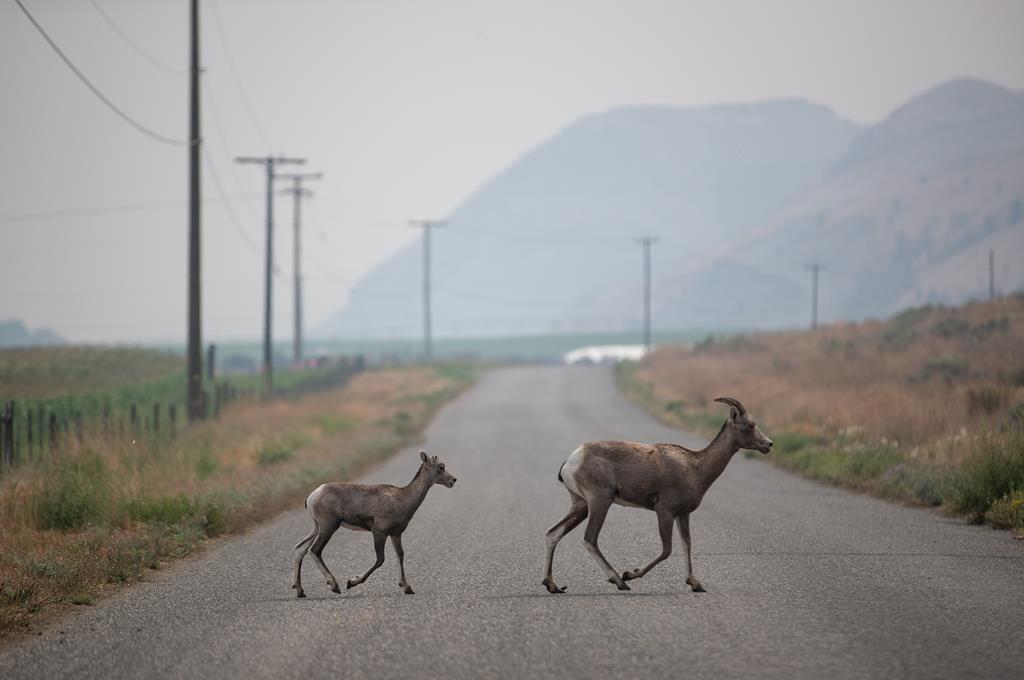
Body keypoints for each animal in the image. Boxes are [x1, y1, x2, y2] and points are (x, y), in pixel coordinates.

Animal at [292, 450, 456, 598]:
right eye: (441, 467)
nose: (453, 480)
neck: (403, 499)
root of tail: (312, 496)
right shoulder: (379, 532)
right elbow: (380, 560)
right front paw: (351, 582)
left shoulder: (395, 534)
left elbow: (400, 555)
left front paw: (407, 588)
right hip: (328, 527)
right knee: (314, 550)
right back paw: (334, 586)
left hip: (317, 527)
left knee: (300, 549)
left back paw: (300, 591)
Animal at [542, 396, 772, 594]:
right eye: (750, 425)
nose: (769, 444)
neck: (695, 467)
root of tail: (572, 460)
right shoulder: (664, 512)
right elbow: (667, 550)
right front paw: (630, 574)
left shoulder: (683, 515)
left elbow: (687, 544)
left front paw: (695, 584)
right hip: (600, 502)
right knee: (590, 539)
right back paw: (619, 581)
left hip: (581, 506)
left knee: (553, 533)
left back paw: (553, 585)